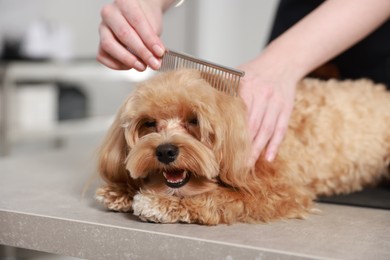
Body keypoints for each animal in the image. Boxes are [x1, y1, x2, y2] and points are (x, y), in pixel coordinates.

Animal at [95, 69, 390, 225]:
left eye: (194, 120)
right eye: (149, 123)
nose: (165, 151)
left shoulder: (279, 192)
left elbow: (218, 197)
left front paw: (159, 203)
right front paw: (121, 191)